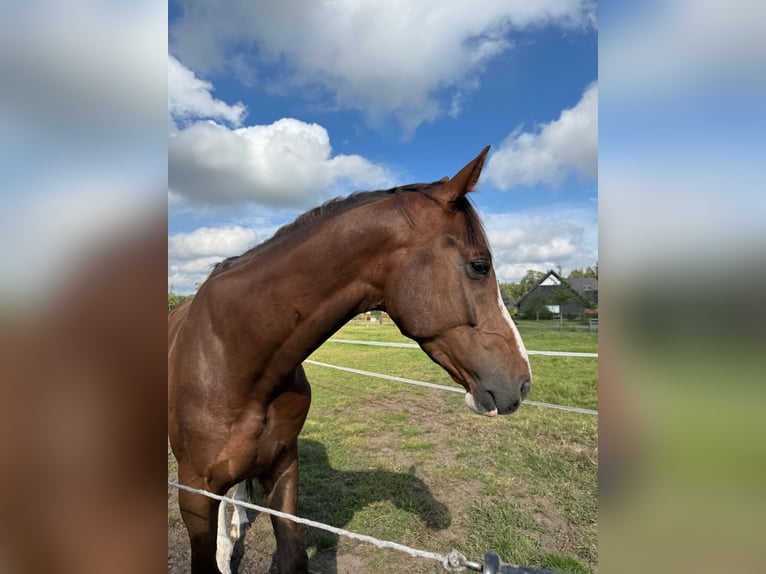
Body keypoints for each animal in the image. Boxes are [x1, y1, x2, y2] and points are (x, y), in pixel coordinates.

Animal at [170, 150, 536, 574]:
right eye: (479, 265)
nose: (523, 382)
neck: (233, 354)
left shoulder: (283, 468)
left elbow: (292, 554)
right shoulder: (194, 490)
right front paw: (222, 552)